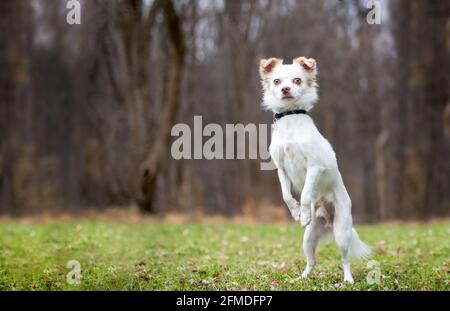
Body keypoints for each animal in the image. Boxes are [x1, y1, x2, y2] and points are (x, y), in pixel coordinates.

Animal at [258, 56, 370, 286]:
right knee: (312, 261)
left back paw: (347, 280)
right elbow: (286, 195)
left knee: (345, 259)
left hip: (342, 232)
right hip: (308, 239)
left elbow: (306, 193)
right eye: (276, 81)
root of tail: (327, 220)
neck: (291, 118)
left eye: (297, 80)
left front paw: (303, 213)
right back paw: (301, 278)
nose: (285, 89)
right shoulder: (281, 169)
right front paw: (297, 212)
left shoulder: (315, 167)